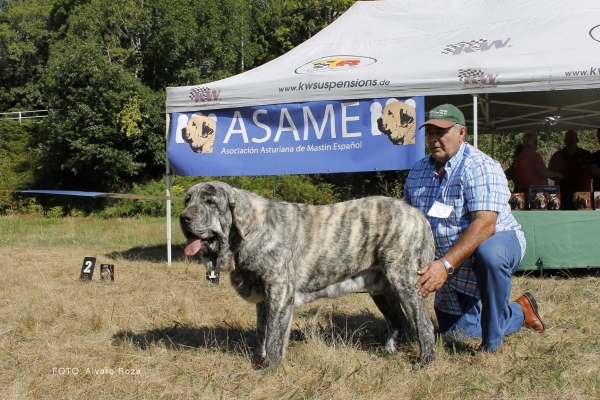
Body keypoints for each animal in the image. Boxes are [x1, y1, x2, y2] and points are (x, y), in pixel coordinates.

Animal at [179, 181, 436, 368]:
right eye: (187, 200)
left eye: (210, 202)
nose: (183, 217)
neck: (250, 231)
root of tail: (418, 215)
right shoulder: (263, 297)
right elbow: (262, 330)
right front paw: (259, 357)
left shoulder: (279, 291)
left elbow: (274, 332)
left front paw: (269, 367)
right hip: (382, 290)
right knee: (398, 320)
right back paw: (389, 350)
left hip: (404, 280)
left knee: (423, 323)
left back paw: (425, 361)